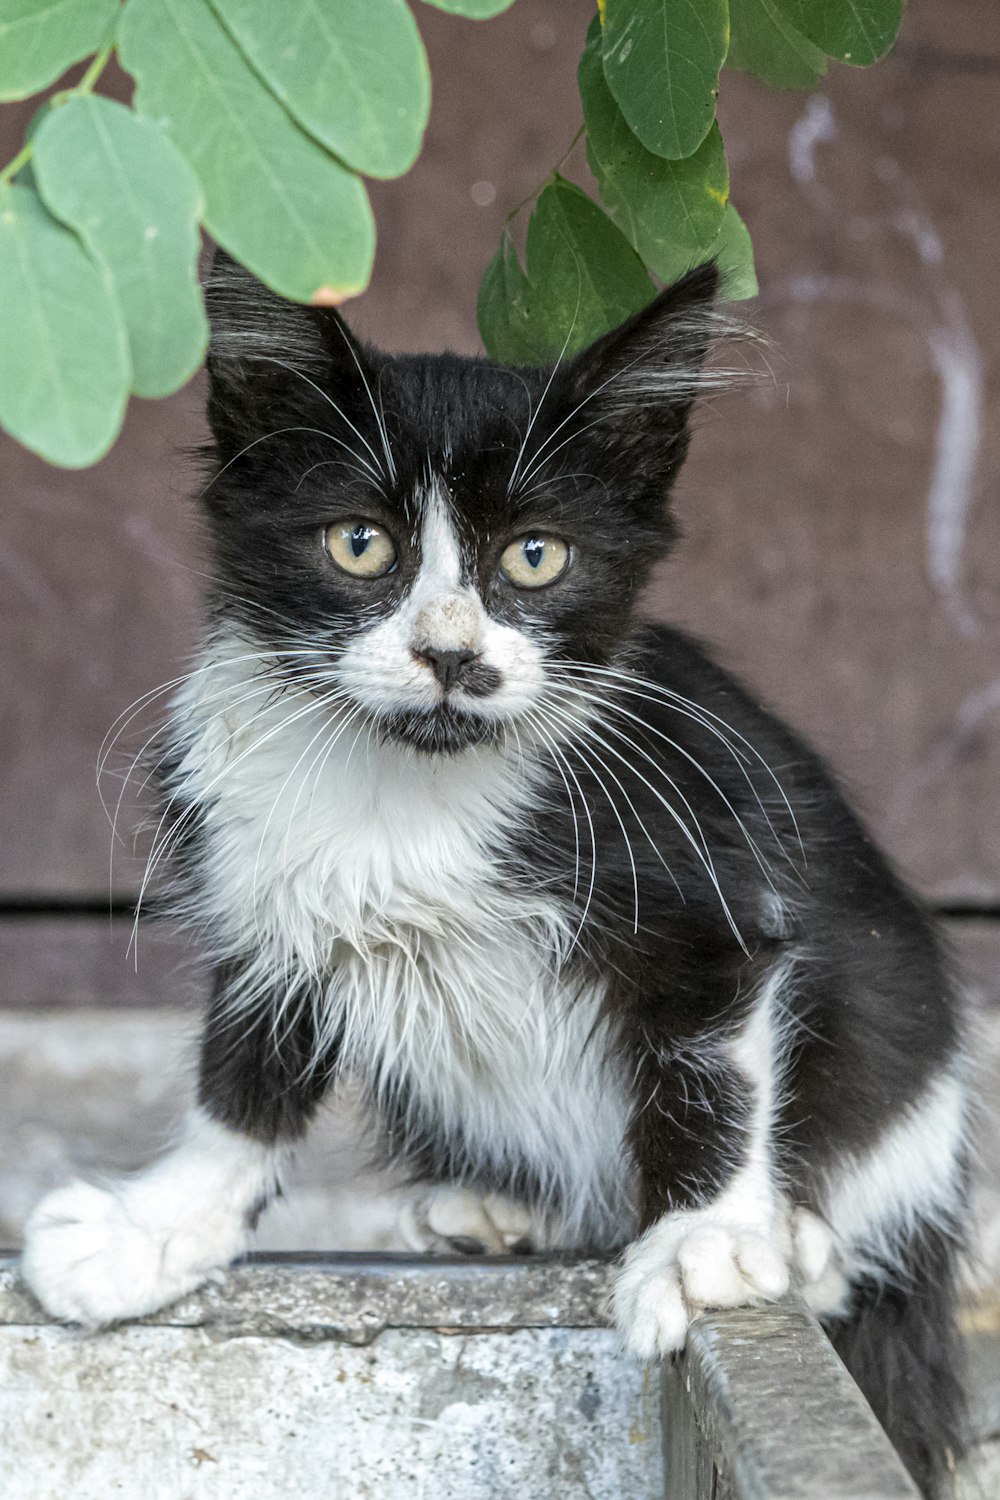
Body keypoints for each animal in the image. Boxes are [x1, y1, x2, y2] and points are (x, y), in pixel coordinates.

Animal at [23, 252, 971, 1494]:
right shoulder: (264, 879)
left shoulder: (706, 859)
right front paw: (158, 1228)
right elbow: (245, 1073)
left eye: (535, 555)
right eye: (359, 544)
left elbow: (710, 1057)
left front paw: (703, 1242)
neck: (411, 784)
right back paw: (508, 1209)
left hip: (899, 1056)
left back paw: (800, 1243)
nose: (451, 654)